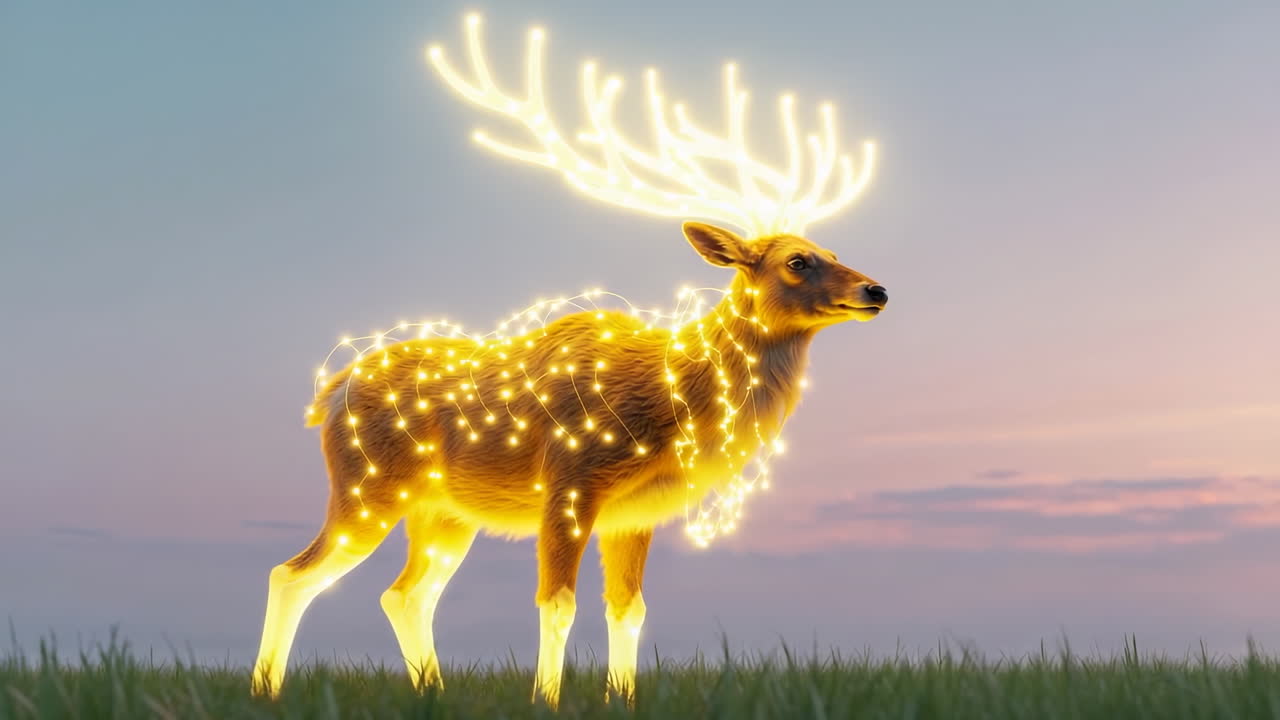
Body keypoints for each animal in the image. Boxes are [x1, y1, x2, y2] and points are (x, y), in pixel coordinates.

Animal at [250, 13, 887, 708]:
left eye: (833, 250)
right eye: (798, 261)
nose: (876, 291)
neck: (671, 398)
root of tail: (330, 392)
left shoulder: (635, 513)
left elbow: (628, 610)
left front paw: (624, 698)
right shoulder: (571, 480)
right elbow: (557, 604)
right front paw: (545, 701)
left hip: (443, 514)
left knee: (405, 594)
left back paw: (433, 690)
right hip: (368, 485)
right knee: (293, 572)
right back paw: (266, 689)